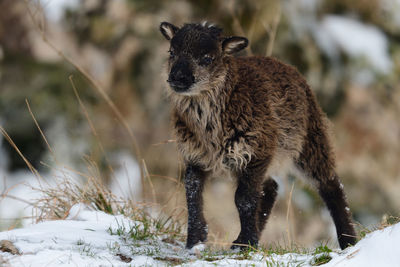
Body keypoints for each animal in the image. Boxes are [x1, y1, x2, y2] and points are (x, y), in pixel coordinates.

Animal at [159, 21, 356, 251]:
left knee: (331, 185)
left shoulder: (255, 151)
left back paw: (349, 241)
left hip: (309, 141)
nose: (177, 78)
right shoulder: (195, 155)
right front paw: (195, 241)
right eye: (172, 52)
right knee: (271, 189)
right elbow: (192, 192)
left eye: (207, 58)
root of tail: (286, 66)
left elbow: (243, 199)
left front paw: (247, 241)